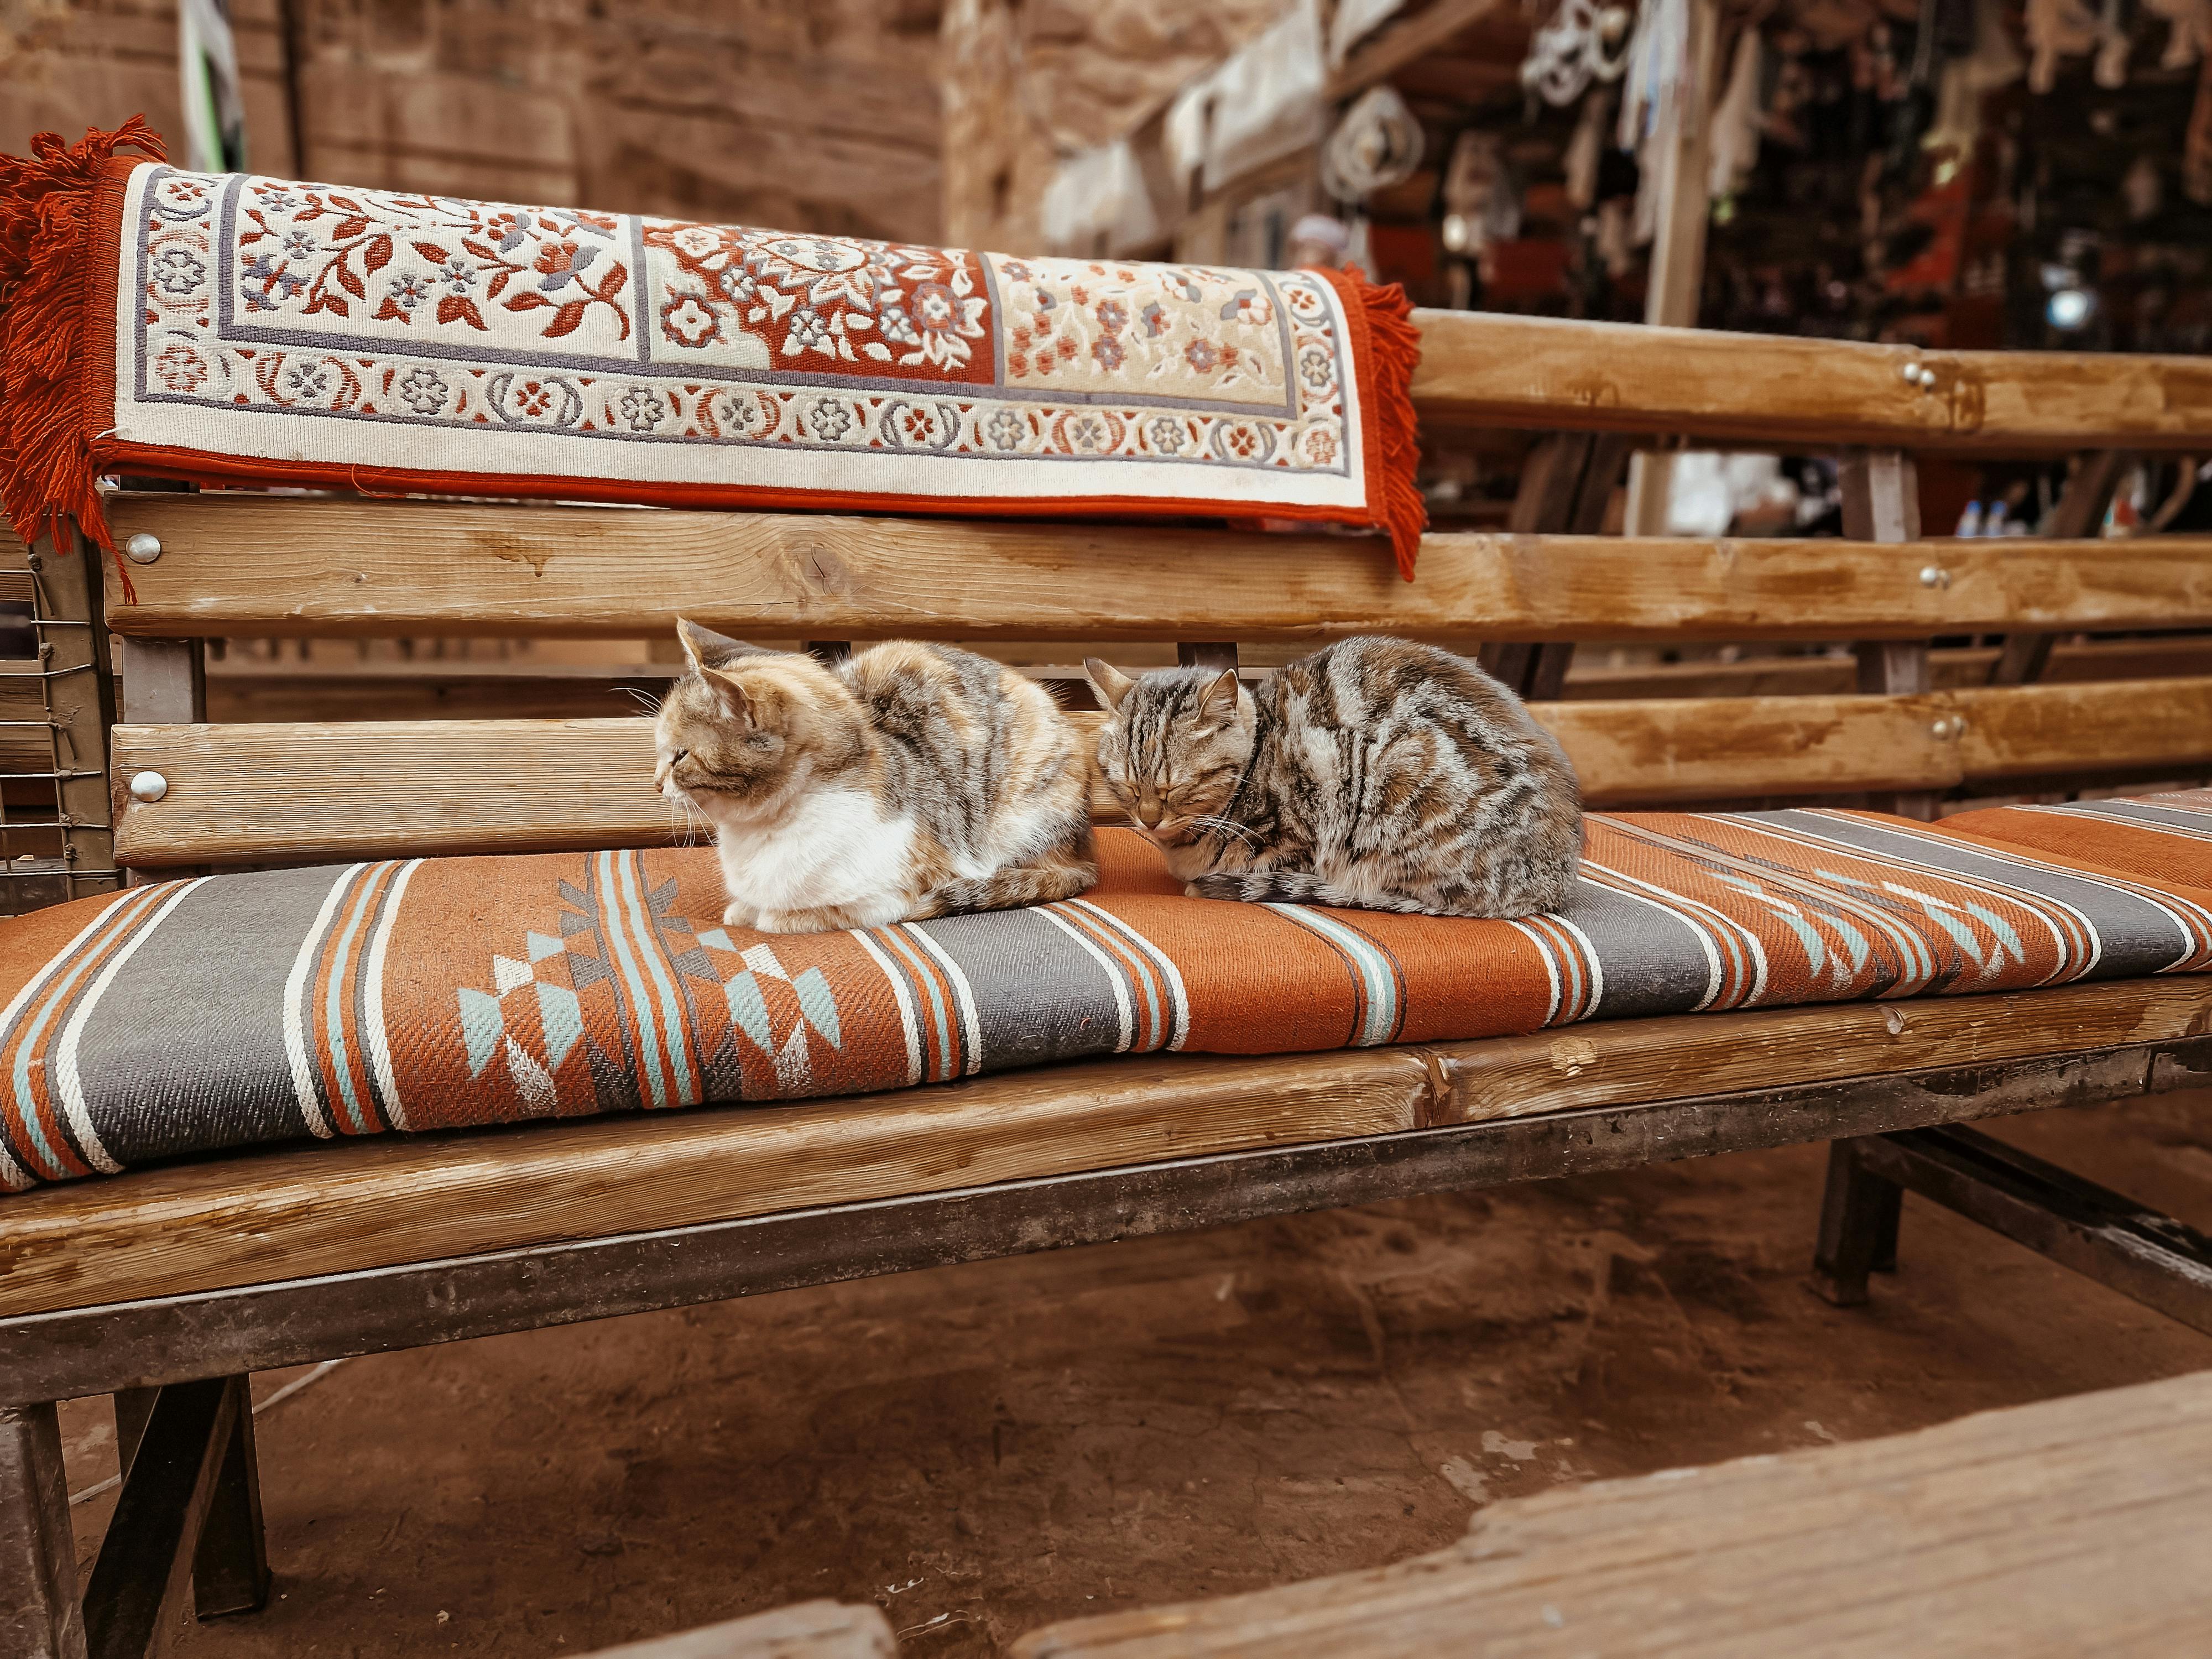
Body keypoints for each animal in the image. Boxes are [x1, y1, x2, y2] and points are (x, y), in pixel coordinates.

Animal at [655, 624, 1106, 938]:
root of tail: (1084, 851)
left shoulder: (895, 888)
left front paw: (779, 916)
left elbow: (814, 913)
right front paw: (744, 909)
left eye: (680, 756)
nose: (656, 783)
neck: (757, 833)